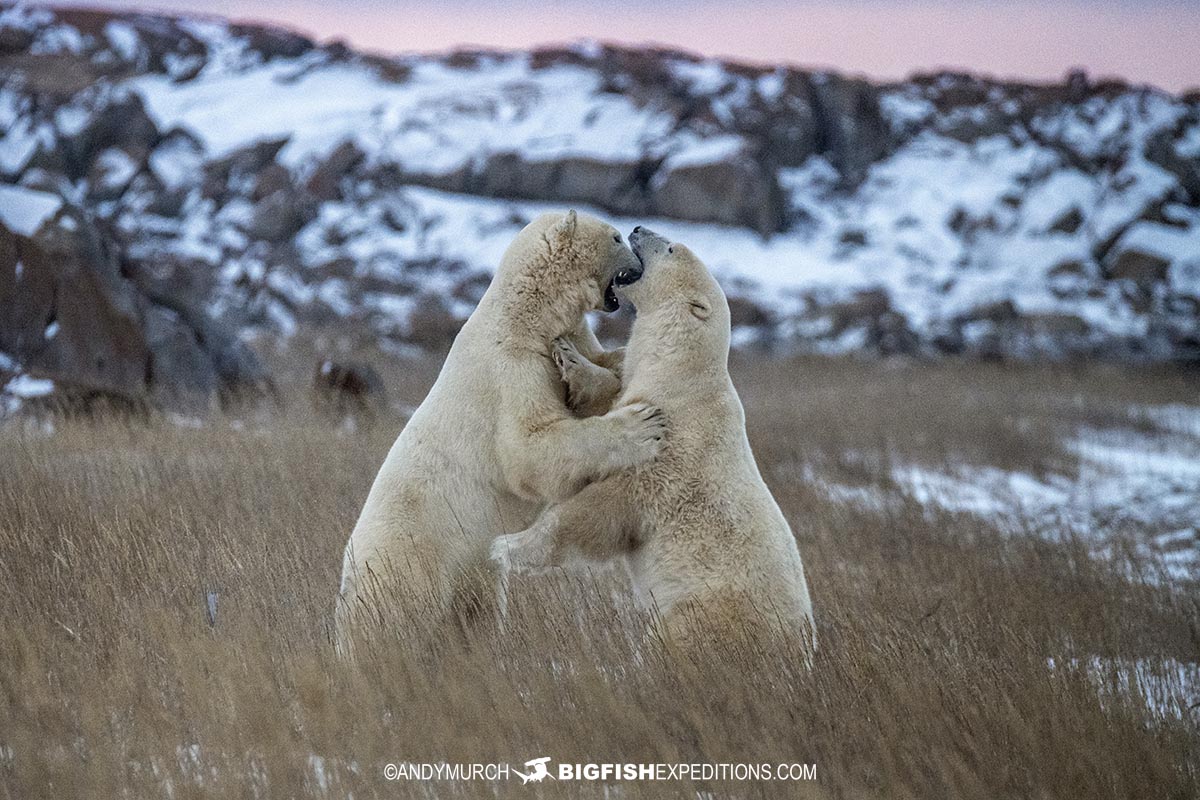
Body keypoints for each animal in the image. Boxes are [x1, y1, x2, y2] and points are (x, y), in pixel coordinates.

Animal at [338, 214, 667, 657]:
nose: (634, 252)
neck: (525, 316)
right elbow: (529, 448)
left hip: (471, 573)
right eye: (615, 237)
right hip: (409, 562)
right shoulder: (511, 365)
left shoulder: (565, 337)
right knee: (396, 626)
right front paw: (643, 425)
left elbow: (605, 367)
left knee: (477, 610)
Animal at [489, 226, 816, 662]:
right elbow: (610, 394)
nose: (639, 229)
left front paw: (507, 546)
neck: (680, 379)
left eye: (672, 248)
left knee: (673, 640)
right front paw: (569, 354)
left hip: (706, 612)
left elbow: (595, 512)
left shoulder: (668, 455)